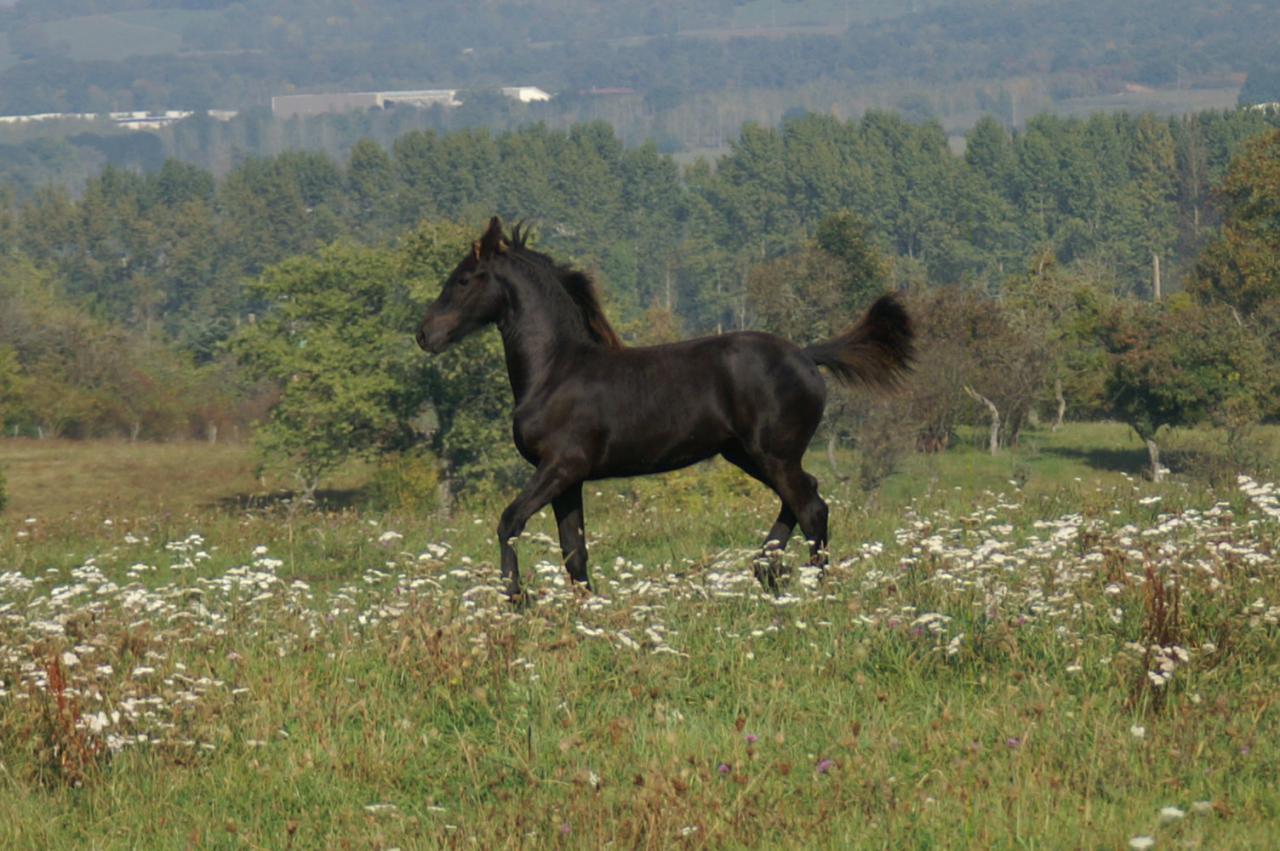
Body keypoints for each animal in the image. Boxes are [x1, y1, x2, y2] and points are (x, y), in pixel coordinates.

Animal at [417, 218, 911, 604]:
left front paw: (517, 599)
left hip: (772, 454)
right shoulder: (567, 479)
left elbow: (510, 521)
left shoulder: (561, 466)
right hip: (751, 454)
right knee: (805, 496)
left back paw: (811, 587)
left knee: (812, 508)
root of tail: (808, 356)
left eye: (464, 279)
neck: (555, 370)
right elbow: (574, 551)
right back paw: (765, 570)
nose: (425, 334)